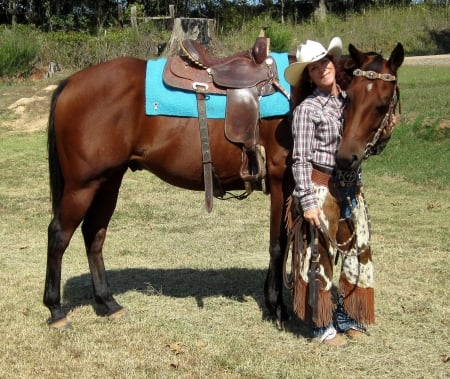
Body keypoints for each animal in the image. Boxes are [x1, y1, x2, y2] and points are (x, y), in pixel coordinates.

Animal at [44, 43, 404, 332]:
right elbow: (278, 245)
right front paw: (276, 307)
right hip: (82, 185)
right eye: (351, 98)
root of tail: (71, 83)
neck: (299, 92)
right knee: (60, 234)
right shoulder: (281, 182)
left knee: (94, 234)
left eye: (382, 102)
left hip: (108, 181)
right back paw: (56, 309)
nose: (347, 156)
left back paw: (108, 302)